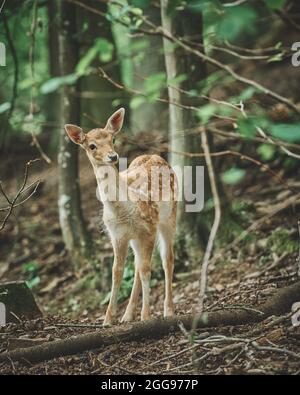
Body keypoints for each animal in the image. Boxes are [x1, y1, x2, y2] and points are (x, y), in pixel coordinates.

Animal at [64, 107, 177, 324]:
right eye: (91, 145)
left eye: (112, 139)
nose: (112, 156)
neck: (124, 210)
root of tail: (156, 156)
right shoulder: (117, 235)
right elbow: (117, 271)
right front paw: (108, 319)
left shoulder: (149, 228)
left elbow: (147, 269)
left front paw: (146, 316)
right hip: (135, 238)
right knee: (137, 265)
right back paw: (127, 315)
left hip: (169, 218)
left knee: (167, 259)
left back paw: (168, 310)